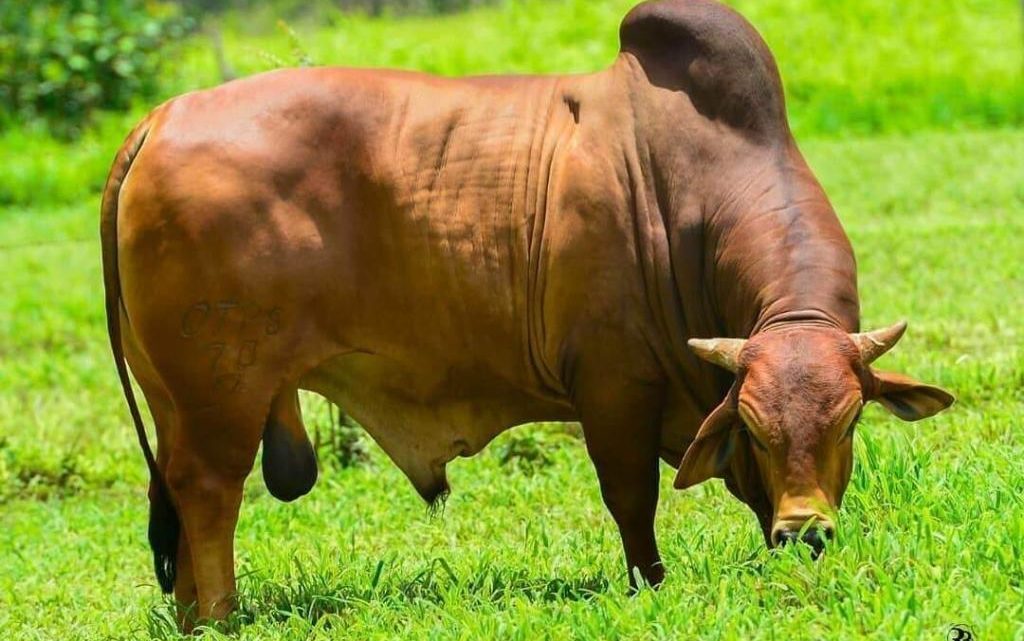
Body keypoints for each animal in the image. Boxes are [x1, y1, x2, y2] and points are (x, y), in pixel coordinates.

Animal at [99, 0, 954, 622]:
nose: (805, 532)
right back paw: (221, 614)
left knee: (179, 491)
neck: (688, 193)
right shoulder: (613, 386)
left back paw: (191, 614)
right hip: (224, 395)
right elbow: (632, 499)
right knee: (210, 492)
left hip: (176, 397)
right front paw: (651, 586)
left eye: (848, 421)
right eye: (757, 427)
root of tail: (161, 116)